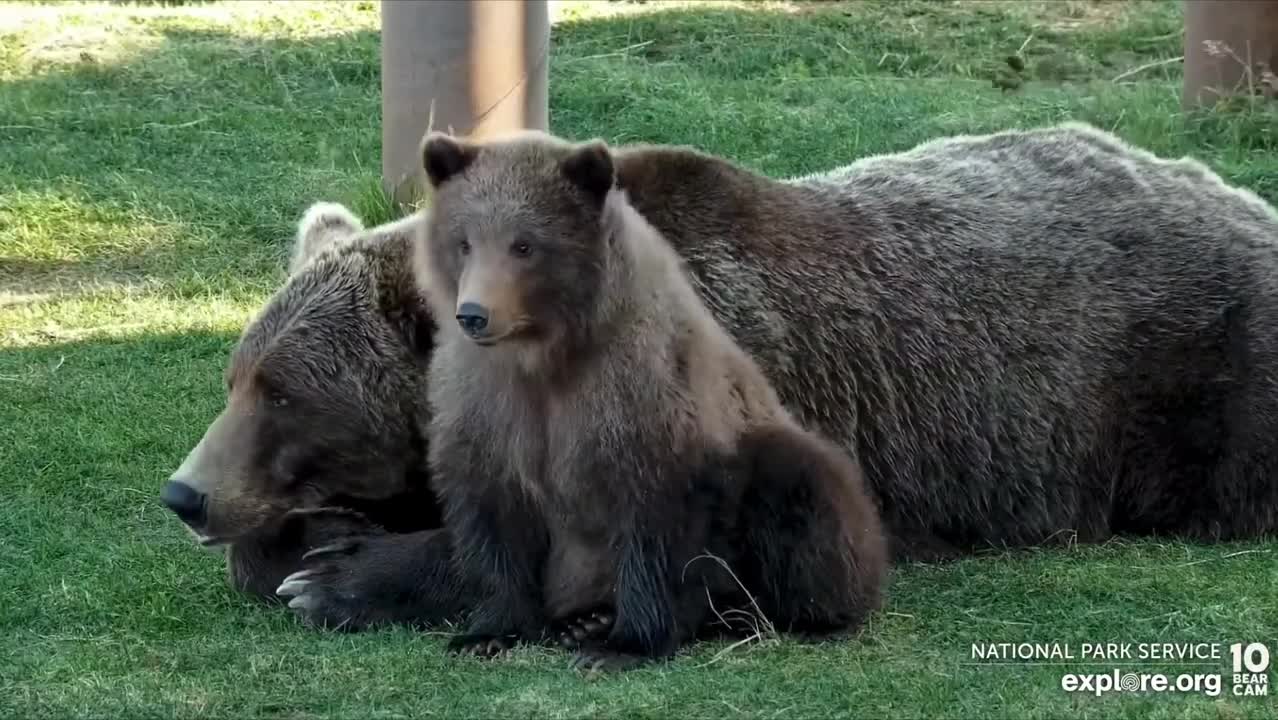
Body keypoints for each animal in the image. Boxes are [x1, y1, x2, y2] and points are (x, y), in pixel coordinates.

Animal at [164, 120, 1278, 634]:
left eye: (284, 392)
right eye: (238, 376)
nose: (186, 493)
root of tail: (1245, 199)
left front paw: (336, 575)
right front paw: (306, 544)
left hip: (1193, 373)